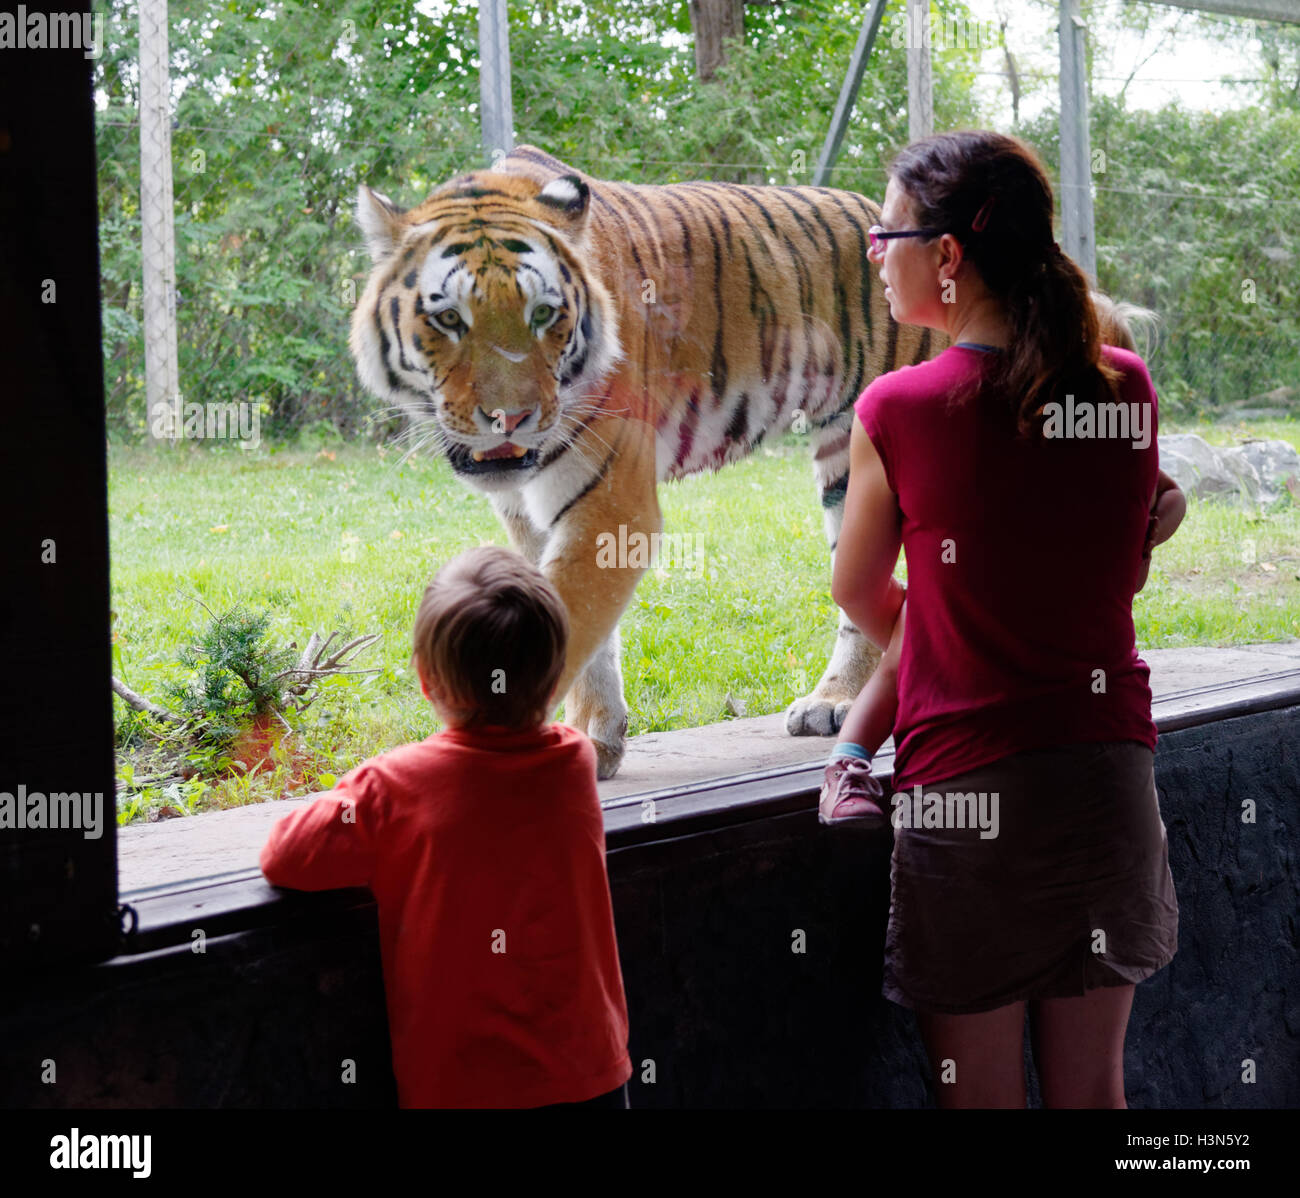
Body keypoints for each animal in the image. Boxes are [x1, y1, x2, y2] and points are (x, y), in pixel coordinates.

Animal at [351, 144, 1133, 779]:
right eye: (448, 319)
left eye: (544, 315)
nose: (509, 419)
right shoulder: (534, 513)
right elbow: (577, 631)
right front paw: (597, 740)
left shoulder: (609, 498)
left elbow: (570, 623)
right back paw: (842, 700)